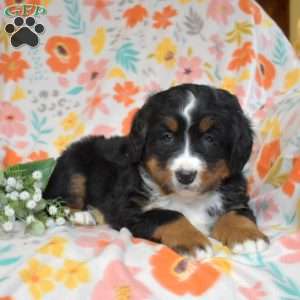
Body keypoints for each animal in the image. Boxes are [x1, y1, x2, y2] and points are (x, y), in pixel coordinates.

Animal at [43, 84, 268, 258]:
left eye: (210, 139)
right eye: (166, 137)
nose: (185, 175)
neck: (188, 199)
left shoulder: (235, 195)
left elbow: (237, 213)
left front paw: (248, 236)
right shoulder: (129, 209)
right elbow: (167, 214)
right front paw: (194, 240)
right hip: (73, 166)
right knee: (57, 202)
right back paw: (82, 215)